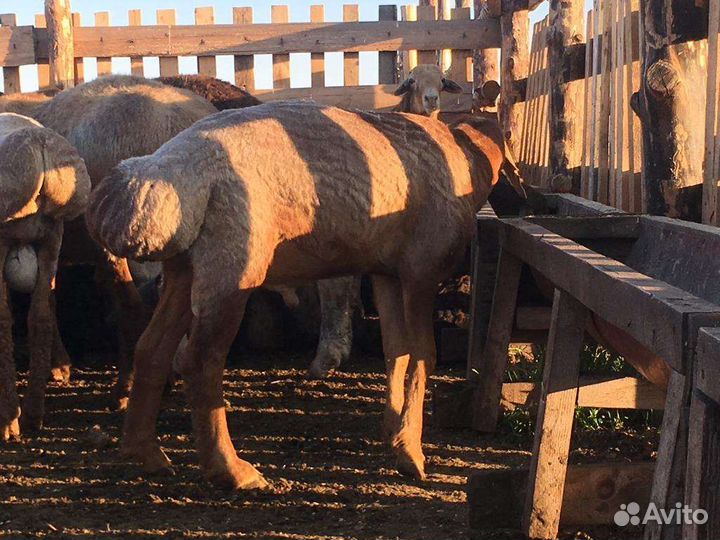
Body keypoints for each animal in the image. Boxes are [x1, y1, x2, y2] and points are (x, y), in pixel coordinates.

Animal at [0, 113, 90, 440]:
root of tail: (40, 147)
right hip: (52, 235)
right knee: (40, 316)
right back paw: (32, 414)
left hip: (5, 236)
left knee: (4, 321)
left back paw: (8, 421)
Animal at [86, 100, 525, 488]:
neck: (466, 159)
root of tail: (165, 169)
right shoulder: (421, 270)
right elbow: (422, 357)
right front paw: (411, 453)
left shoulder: (386, 271)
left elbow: (396, 352)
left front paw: (393, 431)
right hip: (233, 264)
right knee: (199, 362)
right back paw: (232, 471)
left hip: (186, 267)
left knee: (152, 348)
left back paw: (145, 453)